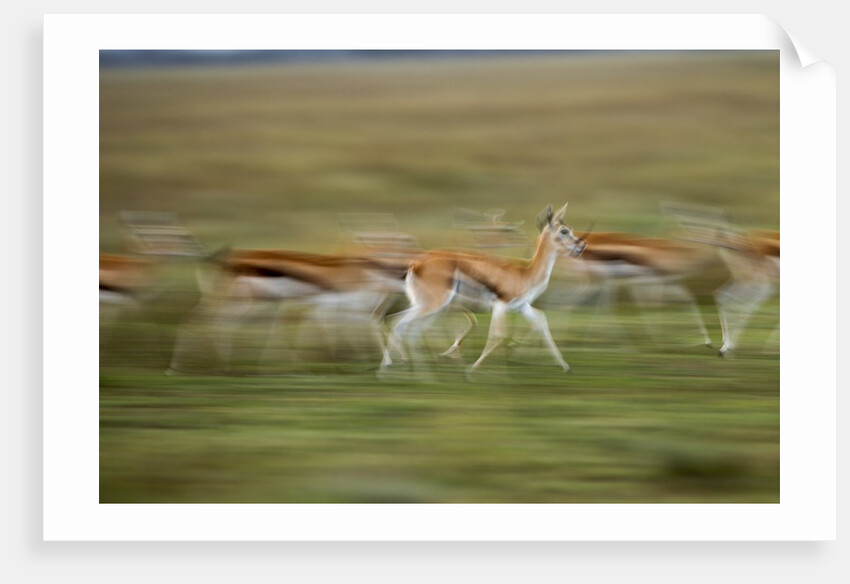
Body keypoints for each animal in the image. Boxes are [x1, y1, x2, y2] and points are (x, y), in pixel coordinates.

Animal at [382, 203, 586, 376]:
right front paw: (473, 370)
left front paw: (565, 366)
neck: (526, 273)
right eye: (564, 231)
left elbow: (541, 321)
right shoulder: (500, 305)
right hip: (433, 304)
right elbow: (498, 335)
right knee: (398, 322)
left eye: (571, 229)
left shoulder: (521, 307)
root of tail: (416, 264)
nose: (581, 246)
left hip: (428, 305)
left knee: (401, 324)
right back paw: (391, 366)